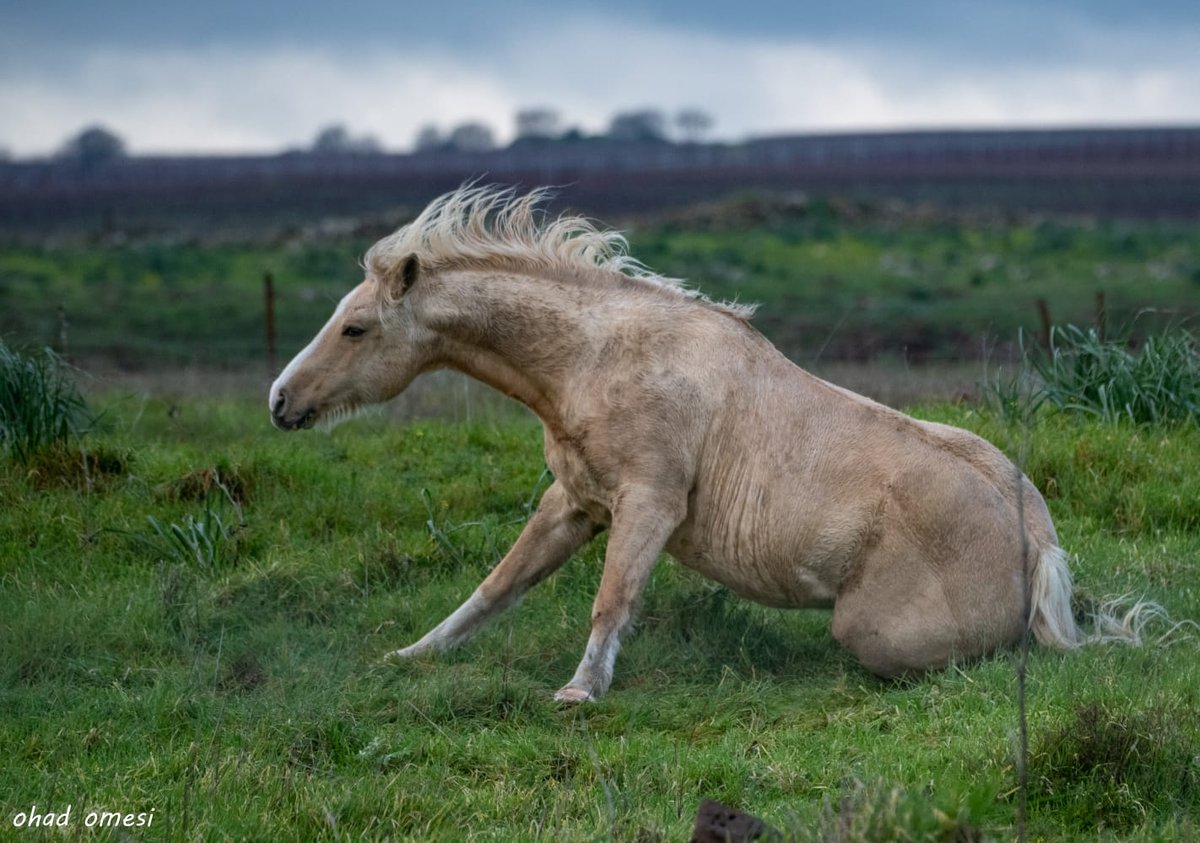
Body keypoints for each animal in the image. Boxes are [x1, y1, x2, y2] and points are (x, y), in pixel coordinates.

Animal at [272, 188, 1089, 701]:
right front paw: (413, 655)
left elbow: (611, 599)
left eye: (356, 328)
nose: (281, 401)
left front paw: (580, 692)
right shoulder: (575, 503)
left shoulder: (649, 504)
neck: (597, 358)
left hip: (872, 631)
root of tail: (1039, 549)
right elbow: (495, 587)